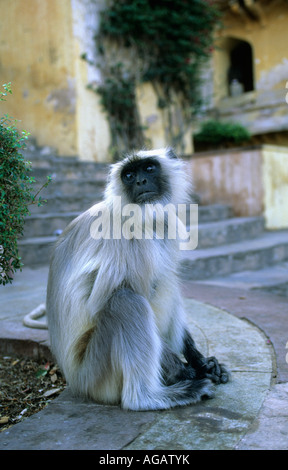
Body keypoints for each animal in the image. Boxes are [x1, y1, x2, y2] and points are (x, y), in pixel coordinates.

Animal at [45, 149, 230, 410]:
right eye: (129, 175)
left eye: (149, 168)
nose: (141, 181)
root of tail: (75, 381)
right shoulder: (123, 240)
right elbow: (100, 303)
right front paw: (187, 372)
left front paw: (200, 363)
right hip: (95, 375)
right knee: (125, 301)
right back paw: (150, 396)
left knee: (167, 281)